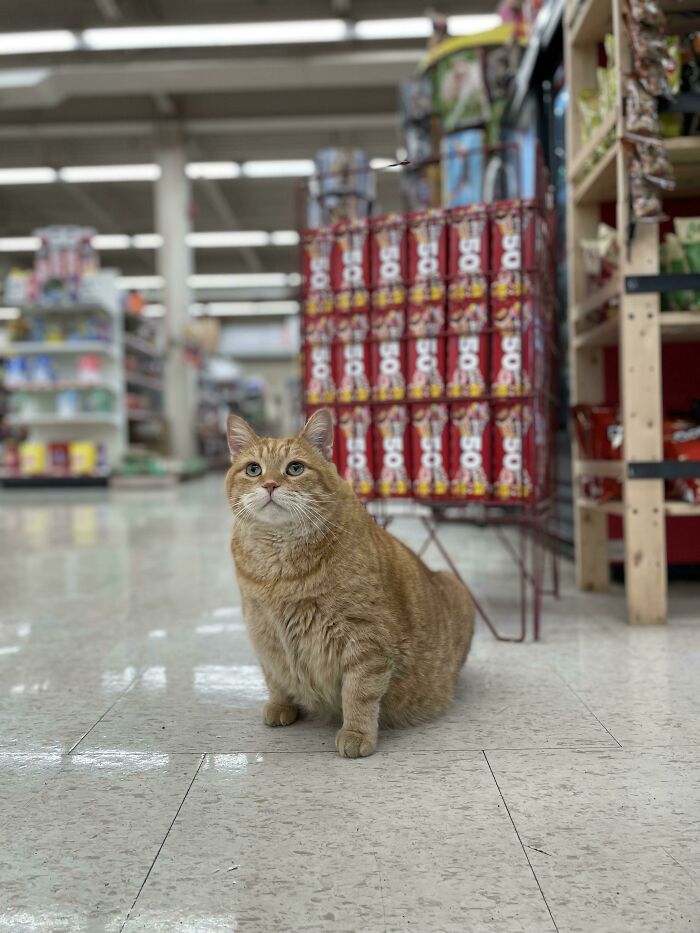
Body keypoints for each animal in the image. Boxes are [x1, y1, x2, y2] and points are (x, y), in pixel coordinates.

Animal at [224, 410, 476, 756]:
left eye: (295, 468)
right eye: (253, 469)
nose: (270, 484)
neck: (280, 569)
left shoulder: (366, 640)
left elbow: (359, 692)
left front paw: (356, 732)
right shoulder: (263, 631)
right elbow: (275, 676)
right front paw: (282, 704)